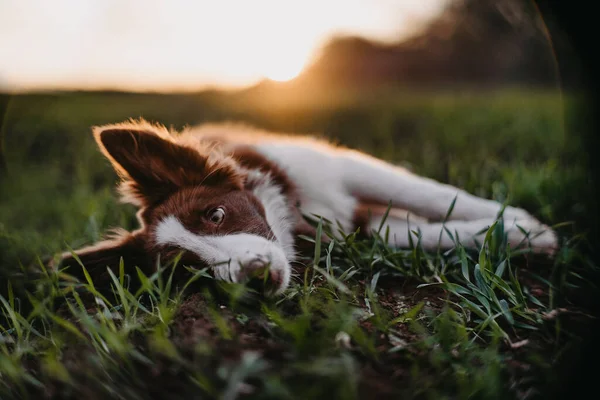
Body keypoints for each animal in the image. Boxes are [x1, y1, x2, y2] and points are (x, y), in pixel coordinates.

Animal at [56, 120, 556, 296]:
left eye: (215, 215)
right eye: (188, 270)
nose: (255, 278)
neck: (293, 215)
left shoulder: (337, 167)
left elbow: (429, 193)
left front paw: (519, 221)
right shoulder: (358, 228)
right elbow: (419, 233)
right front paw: (519, 235)